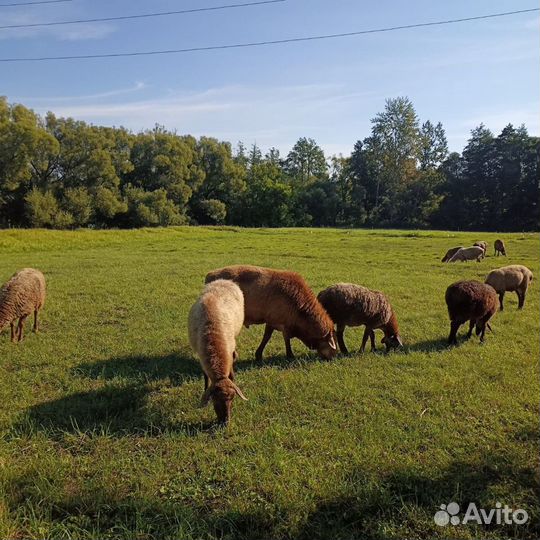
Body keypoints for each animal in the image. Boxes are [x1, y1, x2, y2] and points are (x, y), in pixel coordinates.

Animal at [188, 278, 247, 426]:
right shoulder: (201, 355)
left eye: (232, 399)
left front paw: (233, 377)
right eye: (214, 400)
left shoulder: (229, 350)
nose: (225, 422)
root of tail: (224, 280)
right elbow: (205, 376)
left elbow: (231, 369)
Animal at [205, 264, 336, 360]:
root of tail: (210, 275)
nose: (333, 357)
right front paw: (289, 355)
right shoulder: (278, 321)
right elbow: (281, 338)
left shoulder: (274, 321)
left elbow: (269, 337)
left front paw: (258, 355)